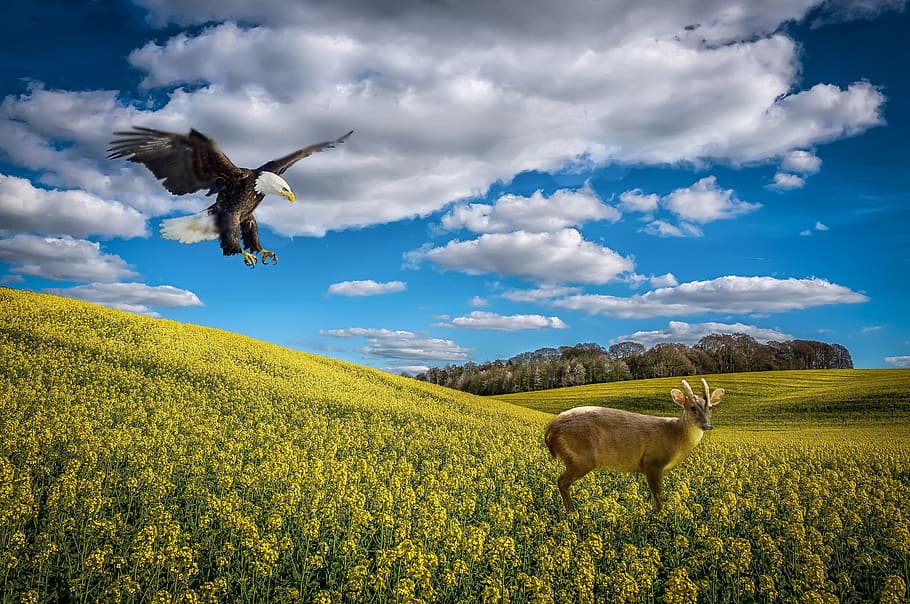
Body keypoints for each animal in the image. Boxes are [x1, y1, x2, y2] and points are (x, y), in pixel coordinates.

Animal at [544, 378, 724, 513]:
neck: (675, 435)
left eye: (710, 407)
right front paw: (660, 515)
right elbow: (657, 493)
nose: (707, 425)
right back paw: (573, 513)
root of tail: (550, 430)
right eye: (692, 407)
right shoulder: (652, 462)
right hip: (580, 457)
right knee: (562, 481)